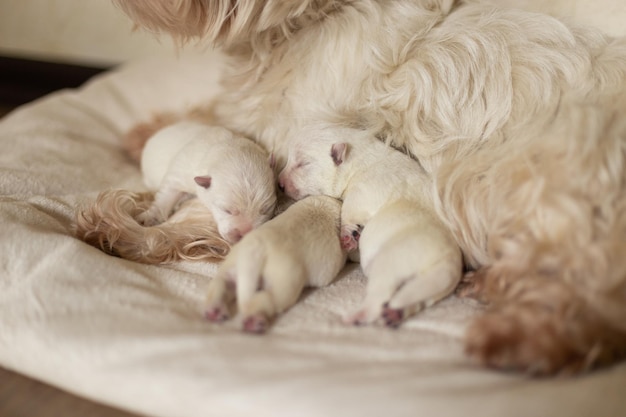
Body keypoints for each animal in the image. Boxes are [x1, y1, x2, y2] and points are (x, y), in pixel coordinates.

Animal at [139, 120, 276, 242]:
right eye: (226, 210)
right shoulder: (180, 173)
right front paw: (150, 217)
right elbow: (167, 195)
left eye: (266, 209)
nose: (244, 235)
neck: (226, 144)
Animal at [204, 193, 346, 334]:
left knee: (220, 285)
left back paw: (215, 310)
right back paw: (254, 321)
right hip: (285, 280)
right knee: (267, 299)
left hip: (232, 267)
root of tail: (255, 248)